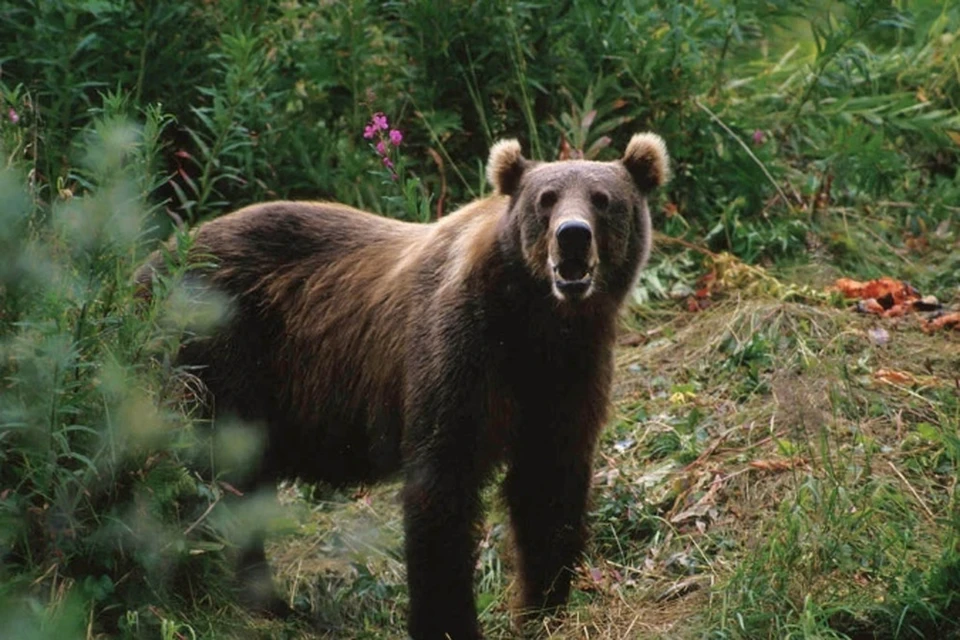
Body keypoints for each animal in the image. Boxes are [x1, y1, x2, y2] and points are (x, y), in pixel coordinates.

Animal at [135, 132, 672, 636]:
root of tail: (150, 263)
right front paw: (450, 620)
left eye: (602, 198)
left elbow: (548, 483)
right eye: (547, 198)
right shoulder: (459, 352)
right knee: (207, 475)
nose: (573, 236)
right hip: (217, 353)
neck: (534, 321)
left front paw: (543, 608)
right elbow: (442, 486)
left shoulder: (567, 374)